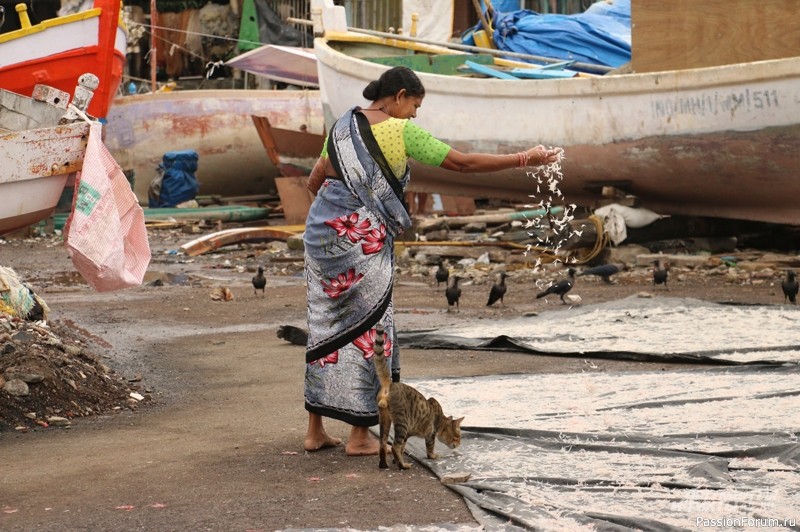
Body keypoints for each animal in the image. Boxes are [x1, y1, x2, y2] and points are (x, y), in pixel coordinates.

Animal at [370, 324, 462, 470]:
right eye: (457, 436)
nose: (459, 444)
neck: (441, 419)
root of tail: (390, 383)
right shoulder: (430, 434)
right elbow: (429, 448)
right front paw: (433, 456)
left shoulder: (408, 434)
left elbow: (403, 448)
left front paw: (395, 460)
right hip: (402, 422)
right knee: (394, 446)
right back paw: (403, 465)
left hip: (385, 420)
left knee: (383, 443)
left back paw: (384, 464)